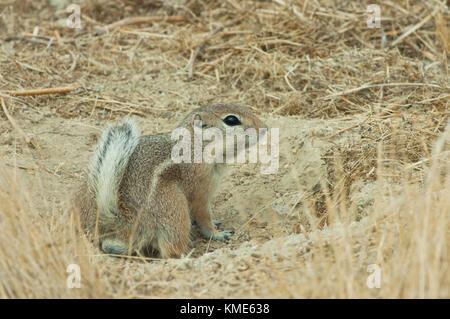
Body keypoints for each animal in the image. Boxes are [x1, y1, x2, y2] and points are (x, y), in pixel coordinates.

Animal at [72, 104, 266, 258]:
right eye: (231, 120)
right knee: (170, 250)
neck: (196, 146)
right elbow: (204, 216)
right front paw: (218, 233)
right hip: (175, 209)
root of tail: (126, 223)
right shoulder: (200, 191)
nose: (265, 127)